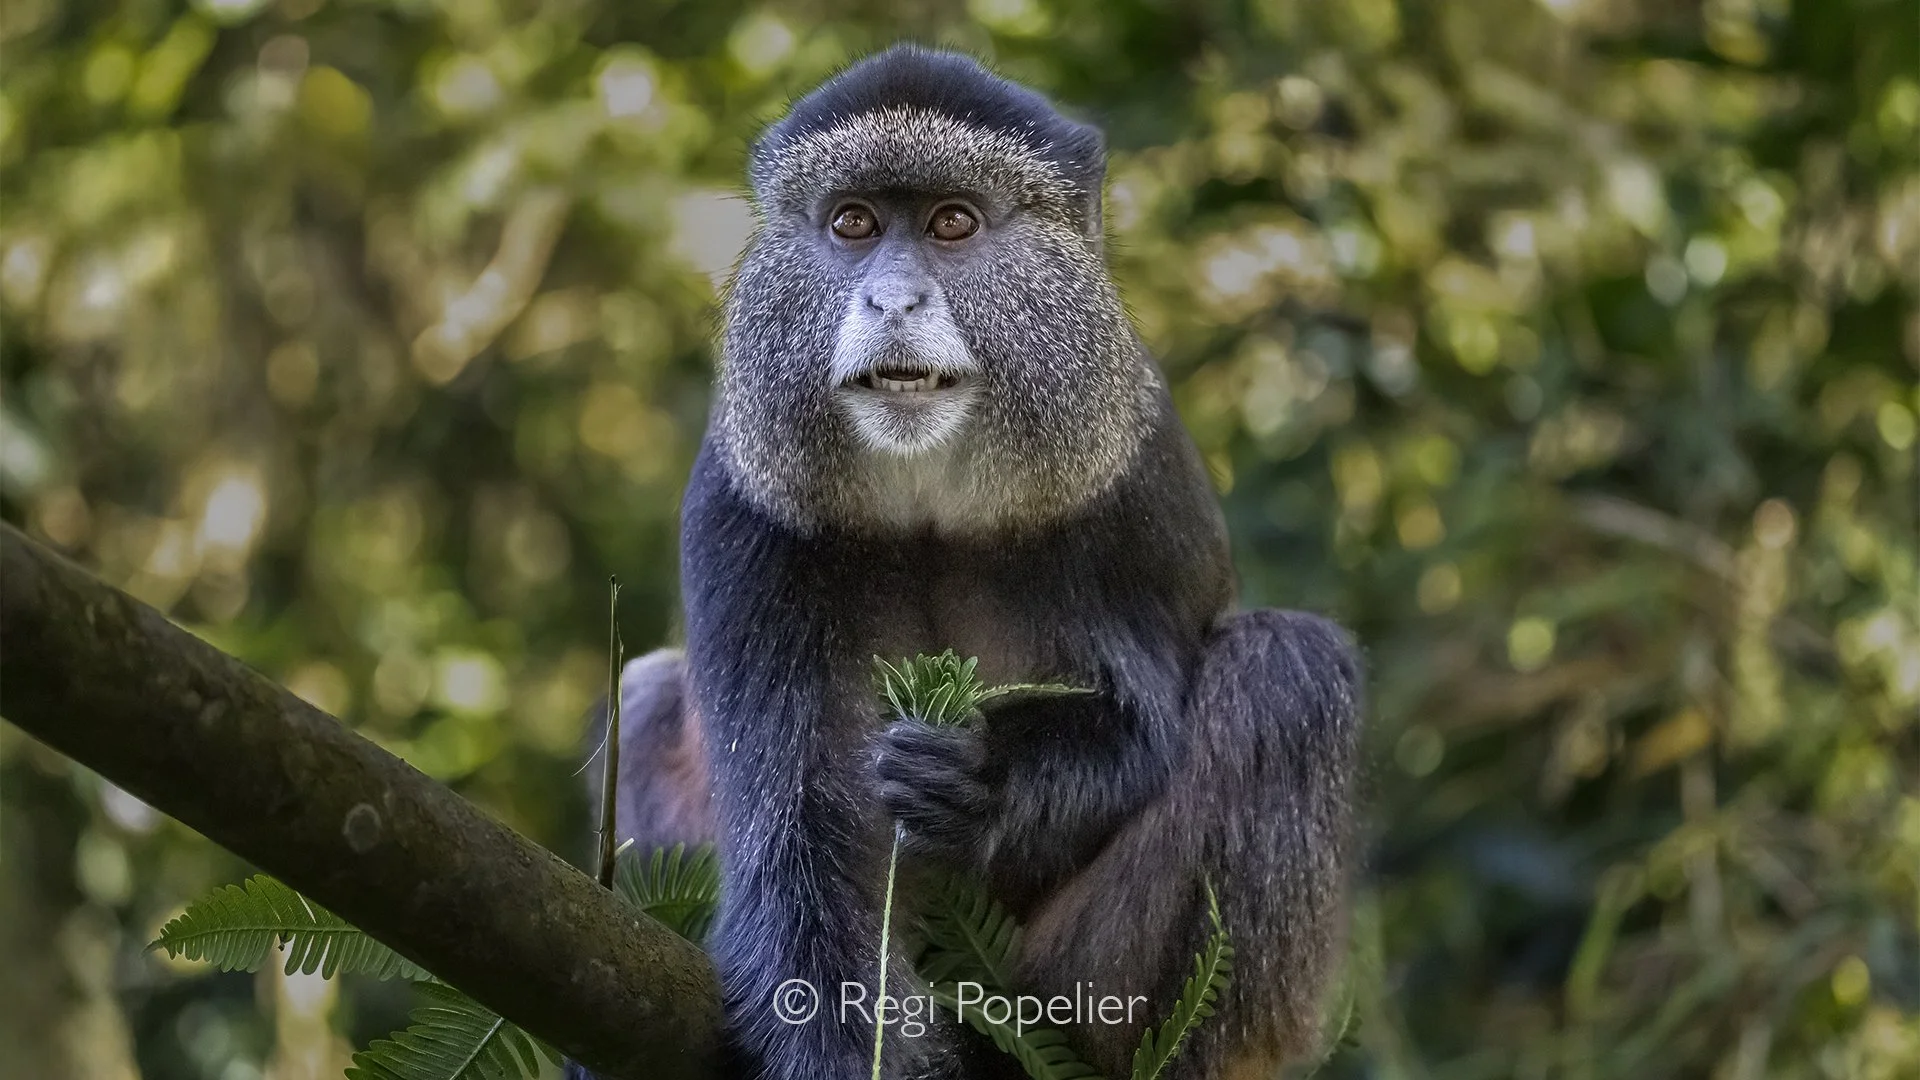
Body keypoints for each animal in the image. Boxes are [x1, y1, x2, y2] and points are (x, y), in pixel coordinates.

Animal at [574, 45, 1361, 1080]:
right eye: (853, 224)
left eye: (953, 222)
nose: (892, 298)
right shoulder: (743, 510)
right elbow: (799, 831)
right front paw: (839, 1043)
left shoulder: (1140, 486)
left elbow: (1144, 729)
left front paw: (980, 778)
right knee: (654, 696)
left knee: (1288, 670)